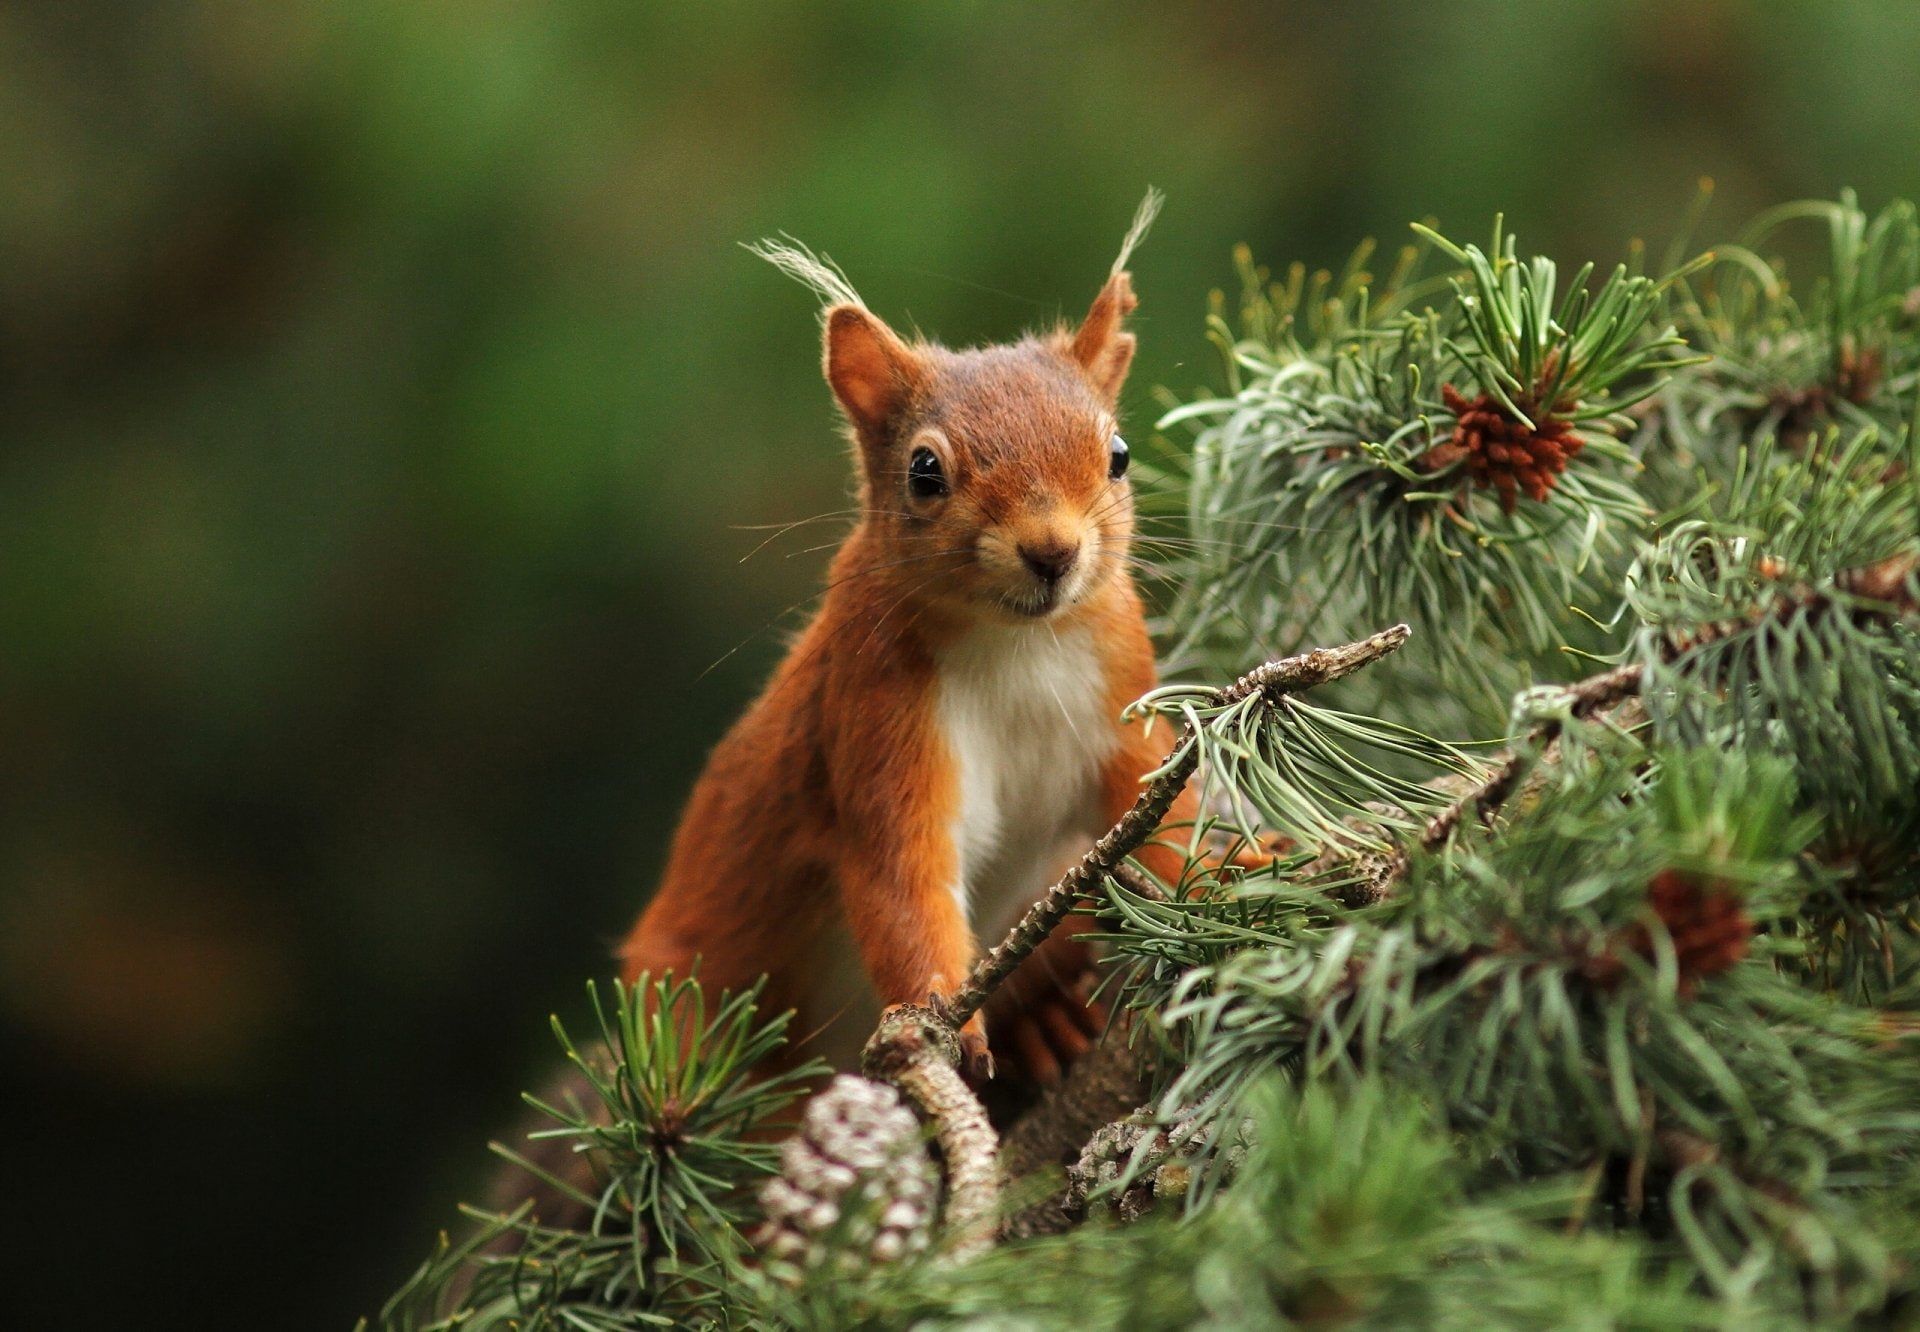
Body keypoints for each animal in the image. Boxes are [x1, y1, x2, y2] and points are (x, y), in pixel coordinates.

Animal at [619, 195, 1202, 1085]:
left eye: (1119, 456)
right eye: (925, 472)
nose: (1053, 552)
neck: (1016, 645)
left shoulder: (1120, 693)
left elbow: (1160, 808)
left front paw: (1237, 873)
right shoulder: (877, 717)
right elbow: (902, 879)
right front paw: (942, 1020)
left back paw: (1050, 1017)